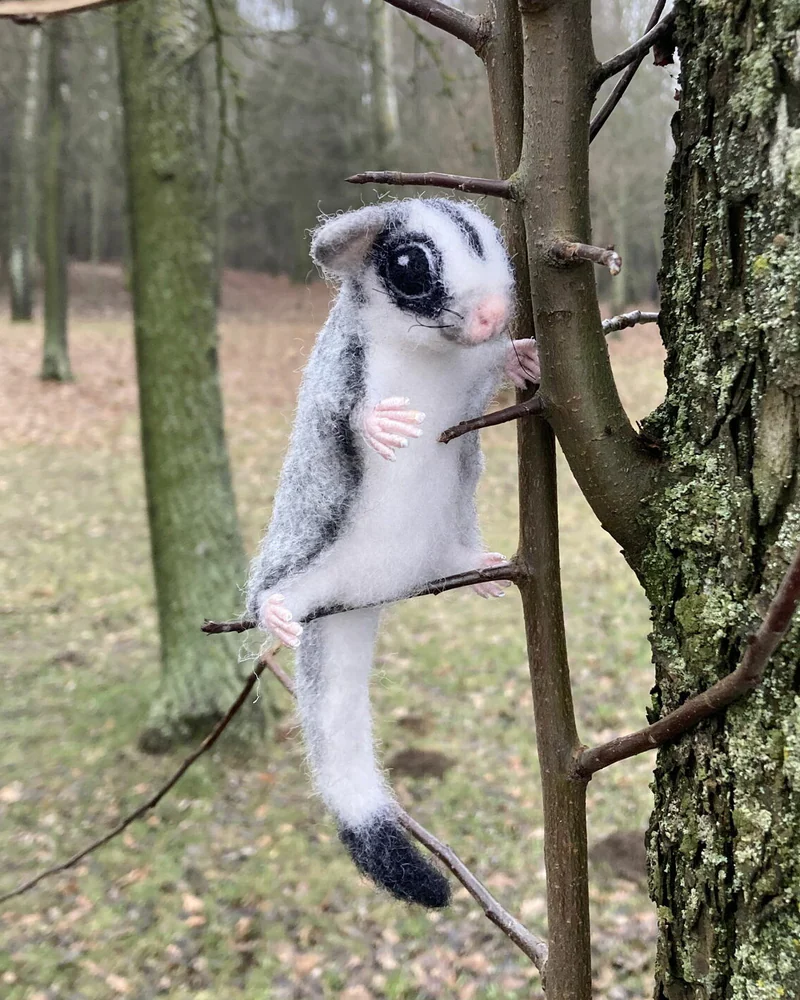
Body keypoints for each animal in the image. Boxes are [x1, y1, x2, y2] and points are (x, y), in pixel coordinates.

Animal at [246, 198, 539, 908]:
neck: (426, 354)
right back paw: (275, 610)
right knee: (281, 590)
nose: (494, 314)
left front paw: (521, 358)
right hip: (313, 563)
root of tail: (364, 593)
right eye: (409, 266)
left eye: (493, 243)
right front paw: (377, 424)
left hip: (437, 547)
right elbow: (340, 415)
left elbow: (492, 367)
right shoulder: (340, 370)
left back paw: (479, 570)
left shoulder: (470, 369)